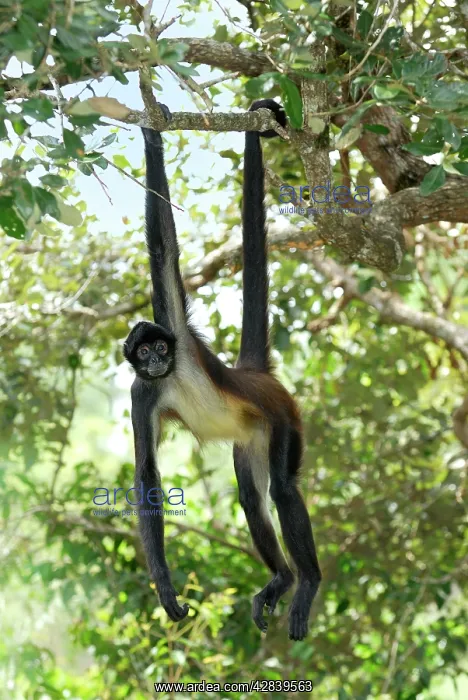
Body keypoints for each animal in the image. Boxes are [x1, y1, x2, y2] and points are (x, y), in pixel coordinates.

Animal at [123, 99, 321, 641]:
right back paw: (282, 579)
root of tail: (253, 374)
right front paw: (164, 584)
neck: (170, 375)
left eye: (158, 346)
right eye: (142, 355)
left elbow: (164, 247)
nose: (156, 359)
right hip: (251, 435)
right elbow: (147, 474)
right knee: (252, 498)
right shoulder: (140, 393)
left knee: (283, 489)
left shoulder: (176, 328)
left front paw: (152, 131)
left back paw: (308, 583)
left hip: (282, 418)